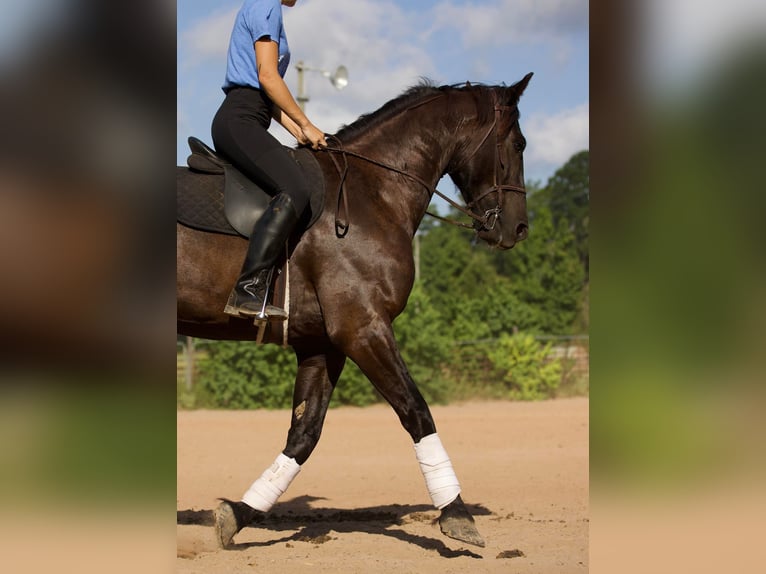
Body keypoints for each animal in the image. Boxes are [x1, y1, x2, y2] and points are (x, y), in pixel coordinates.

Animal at [177, 74, 536, 552]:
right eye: (518, 143)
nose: (518, 228)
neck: (374, 191)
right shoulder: (362, 328)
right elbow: (416, 411)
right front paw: (457, 514)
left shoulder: (322, 344)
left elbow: (304, 434)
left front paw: (237, 514)